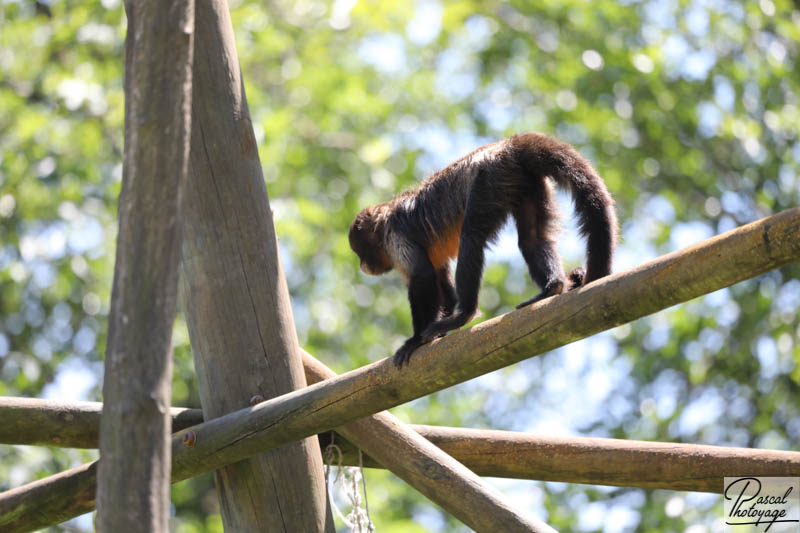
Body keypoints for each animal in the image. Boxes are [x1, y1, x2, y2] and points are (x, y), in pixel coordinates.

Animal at [350, 133, 620, 366]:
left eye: (361, 253)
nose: (363, 266)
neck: (386, 218)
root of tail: (505, 146)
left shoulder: (394, 238)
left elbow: (422, 277)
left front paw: (416, 340)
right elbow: (441, 281)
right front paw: (436, 333)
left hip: (489, 180)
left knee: (471, 238)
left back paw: (465, 314)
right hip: (524, 180)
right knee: (532, 238)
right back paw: (552, 286)